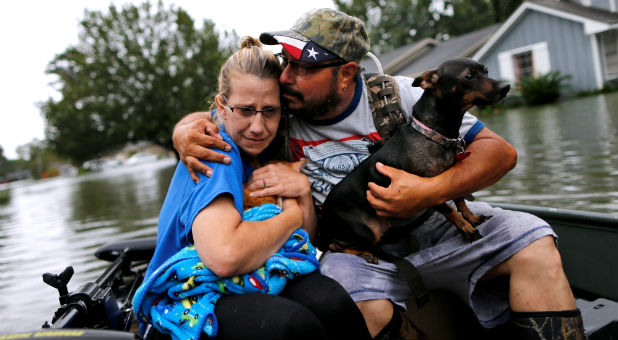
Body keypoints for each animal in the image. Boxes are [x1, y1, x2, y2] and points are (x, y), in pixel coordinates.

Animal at [316, 57, 508, 262]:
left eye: (485, 71)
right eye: (469, 76)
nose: (506, 87)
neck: (431, 134)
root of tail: (324, 222)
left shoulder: (450, 182)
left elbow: (460, 201)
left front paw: (472, 219)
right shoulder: (428, 192)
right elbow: (450, 210)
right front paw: (466, 229)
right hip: (367, 231)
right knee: (334, 245)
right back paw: (365, 254)